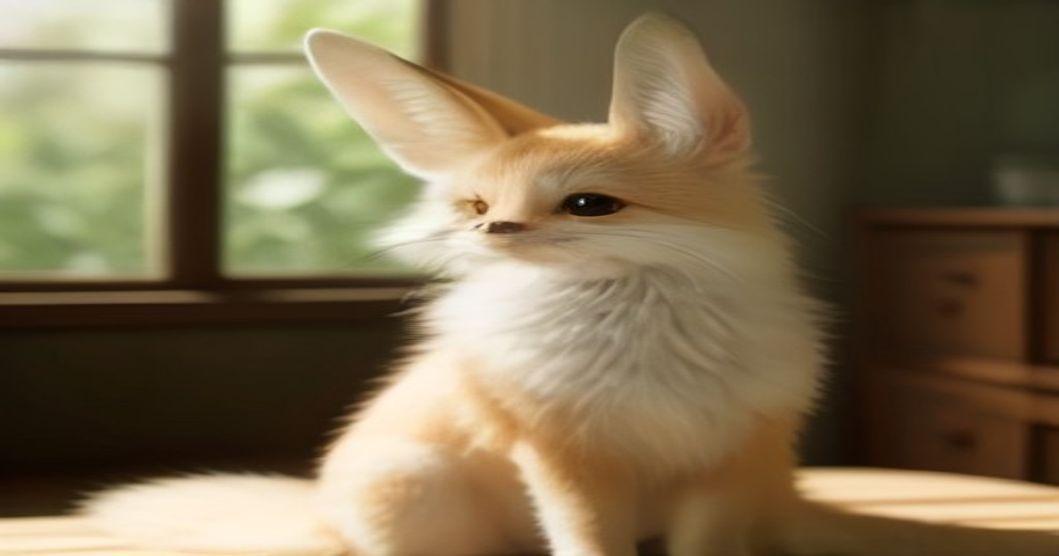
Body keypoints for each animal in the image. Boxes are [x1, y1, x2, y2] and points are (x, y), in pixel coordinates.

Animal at [83, 13, 1059, 556]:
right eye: (478, 203)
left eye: (589, 205)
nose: (493, 232)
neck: (649, 355)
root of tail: (319, 512)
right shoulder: (564, 459)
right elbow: (589, 547)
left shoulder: (722, 468)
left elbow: (702, 552)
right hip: (417, 497)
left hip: (761, 491)